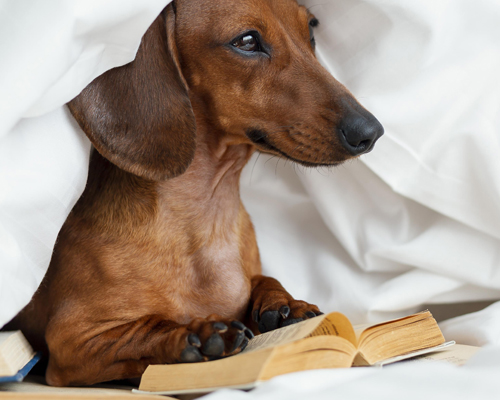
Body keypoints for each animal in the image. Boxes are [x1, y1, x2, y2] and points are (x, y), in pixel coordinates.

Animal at [5, 0, 382, 388]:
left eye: (311, 31)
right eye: (247, 41)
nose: (371, 132)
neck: (205, 215)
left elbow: (265, 279)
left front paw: (286, 305)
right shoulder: (73, 343)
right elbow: (145, 330)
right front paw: (195, 335)